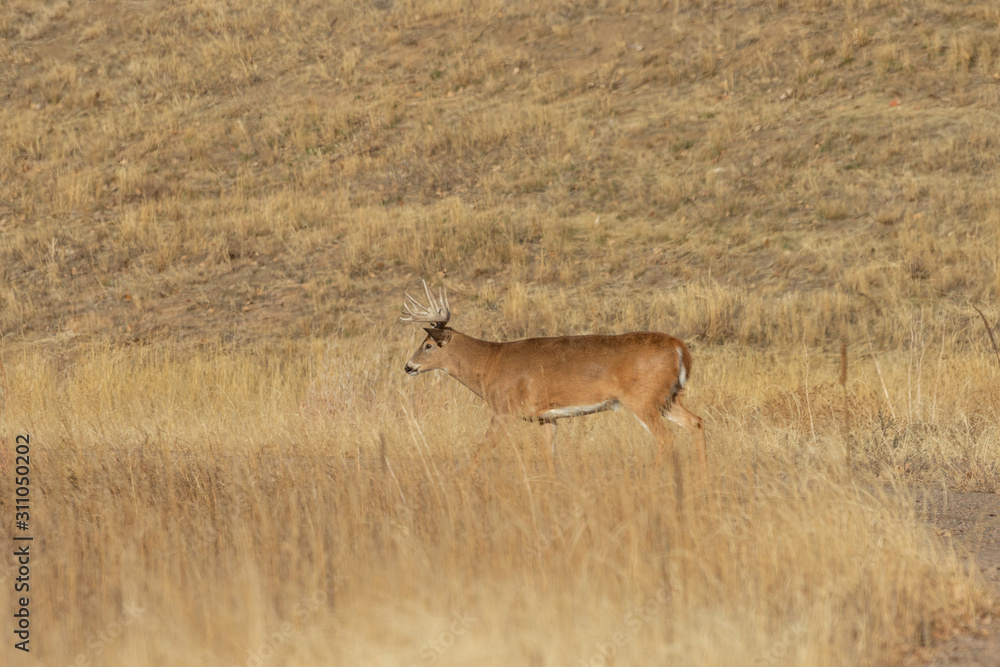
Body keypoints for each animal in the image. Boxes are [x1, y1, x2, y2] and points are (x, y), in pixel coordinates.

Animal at [401, 280, 706, 475]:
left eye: (428, 345)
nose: (408, 366)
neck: (489, 363)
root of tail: (680, 347)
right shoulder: (545, 416)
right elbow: (549, 457)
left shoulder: (503, 411)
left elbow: (479, 451)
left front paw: (462, 482)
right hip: (667, 397)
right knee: (696, 422)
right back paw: (701, 470)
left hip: (643, 399)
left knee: (666, 437)